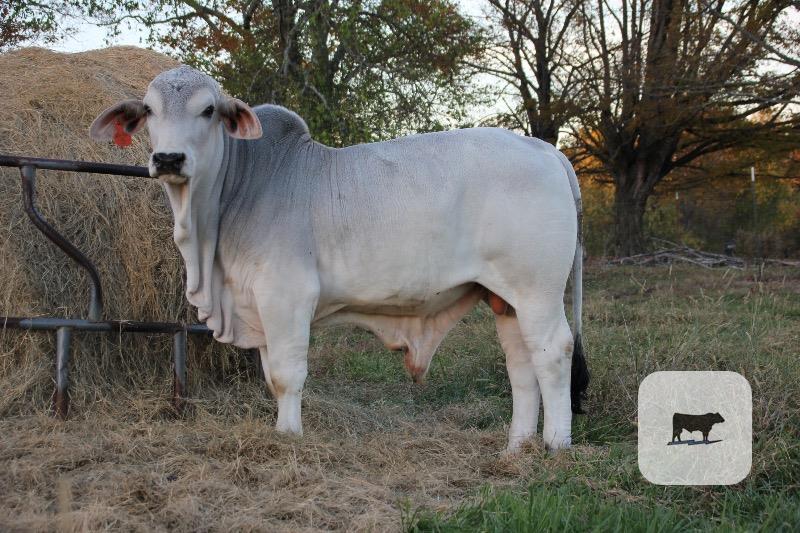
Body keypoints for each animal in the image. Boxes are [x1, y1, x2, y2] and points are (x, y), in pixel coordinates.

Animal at [90, 66, 588, 452]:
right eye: (149, 110)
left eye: (208, 110)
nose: (168, 158)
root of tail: (547, 151)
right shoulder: (258, 305)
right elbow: (270, 376)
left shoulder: (286, 296)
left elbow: (287, 375)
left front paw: (288, 437)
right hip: (505, 297)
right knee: (521, 364)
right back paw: (516, 446)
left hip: (538, 291)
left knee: (553, 353)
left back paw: (555, 445)